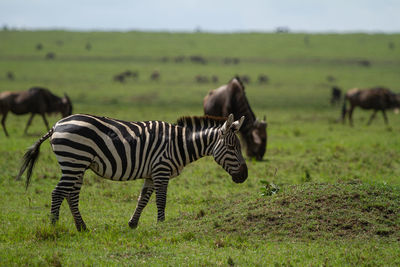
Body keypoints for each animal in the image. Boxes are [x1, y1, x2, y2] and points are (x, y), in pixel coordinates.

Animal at [17, 114, 248, 231]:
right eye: (232, 148)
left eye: (238, 147)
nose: (245, 176)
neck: (178, 144)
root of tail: (56, 125)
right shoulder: (161, 170)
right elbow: (161, 200)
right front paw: (161, 225)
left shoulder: (151, 173)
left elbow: (143, 199)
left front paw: (133, 223)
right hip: (73, 160)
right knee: (58, 193)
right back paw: (54, 227)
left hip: (77, 165)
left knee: (71, 194)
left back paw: (82, 227)